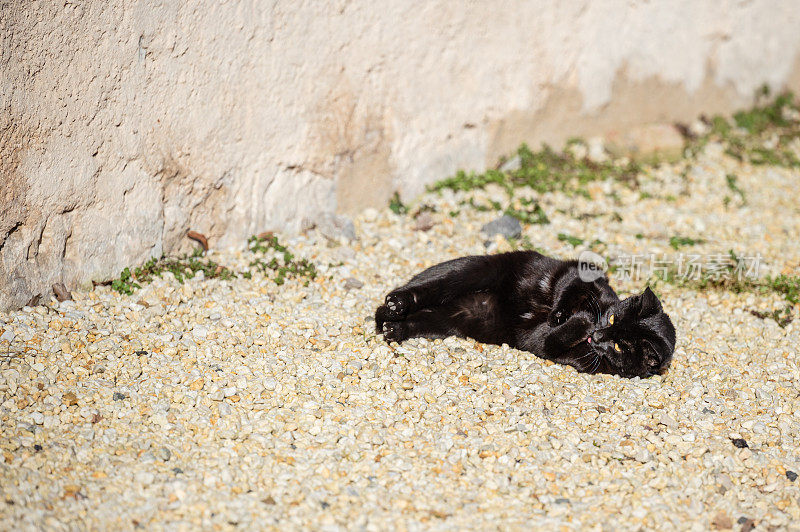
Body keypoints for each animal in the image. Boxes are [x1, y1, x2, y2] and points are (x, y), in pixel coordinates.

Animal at [376, 250, 676, 378]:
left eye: (618, 346)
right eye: (612, 318)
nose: (598, 334)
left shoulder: (552, 348)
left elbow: (557, 336)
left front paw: (579, 321)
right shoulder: (584, 271)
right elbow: (568, 288)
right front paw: (568, 314)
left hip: (450, 320)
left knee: (421, 317)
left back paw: (395, 327)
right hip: (470, 271)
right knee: (422, 290)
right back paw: (397, 304)